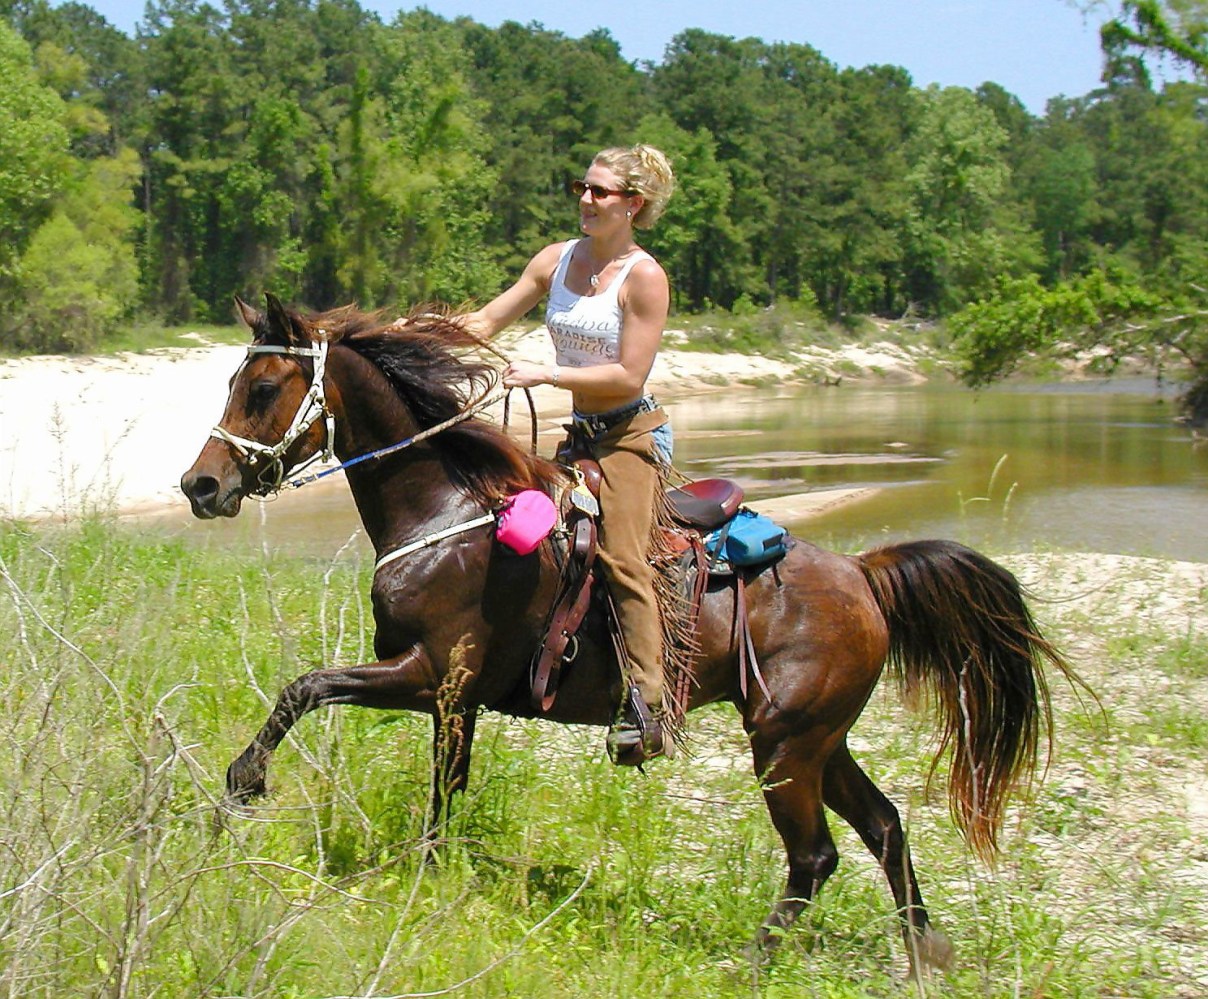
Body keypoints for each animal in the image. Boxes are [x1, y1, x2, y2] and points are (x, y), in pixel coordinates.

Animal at [181, 294, 1075, 973]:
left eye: (264, 385)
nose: (201, 485)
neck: (449, 508)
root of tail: (863, 573)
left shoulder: (429, 674)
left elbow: (307, 689)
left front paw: (240, 787)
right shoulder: (453, 697)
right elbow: (443, 787)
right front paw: (424, 871)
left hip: (785, 745)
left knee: (816, 854)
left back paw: (753, 960)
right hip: (820, 739)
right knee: (885, 825)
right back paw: (925, 948)